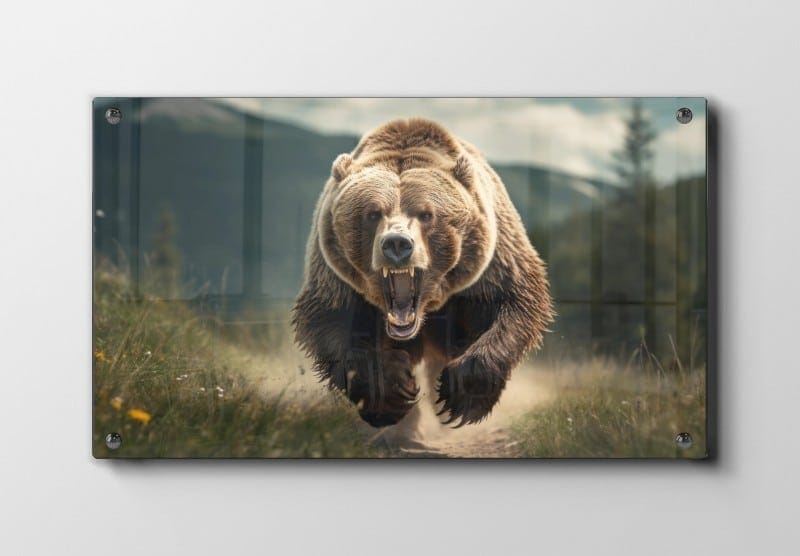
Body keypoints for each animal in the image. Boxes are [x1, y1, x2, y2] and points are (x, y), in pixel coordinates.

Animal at [292, 118, 553, 430]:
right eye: (372, 213)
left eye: (427, 214)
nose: (397, 244)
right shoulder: (334, 273)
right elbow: (330, 320)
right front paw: (390, 394)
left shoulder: (492, 261)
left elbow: (514, 302)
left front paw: (460, 397)